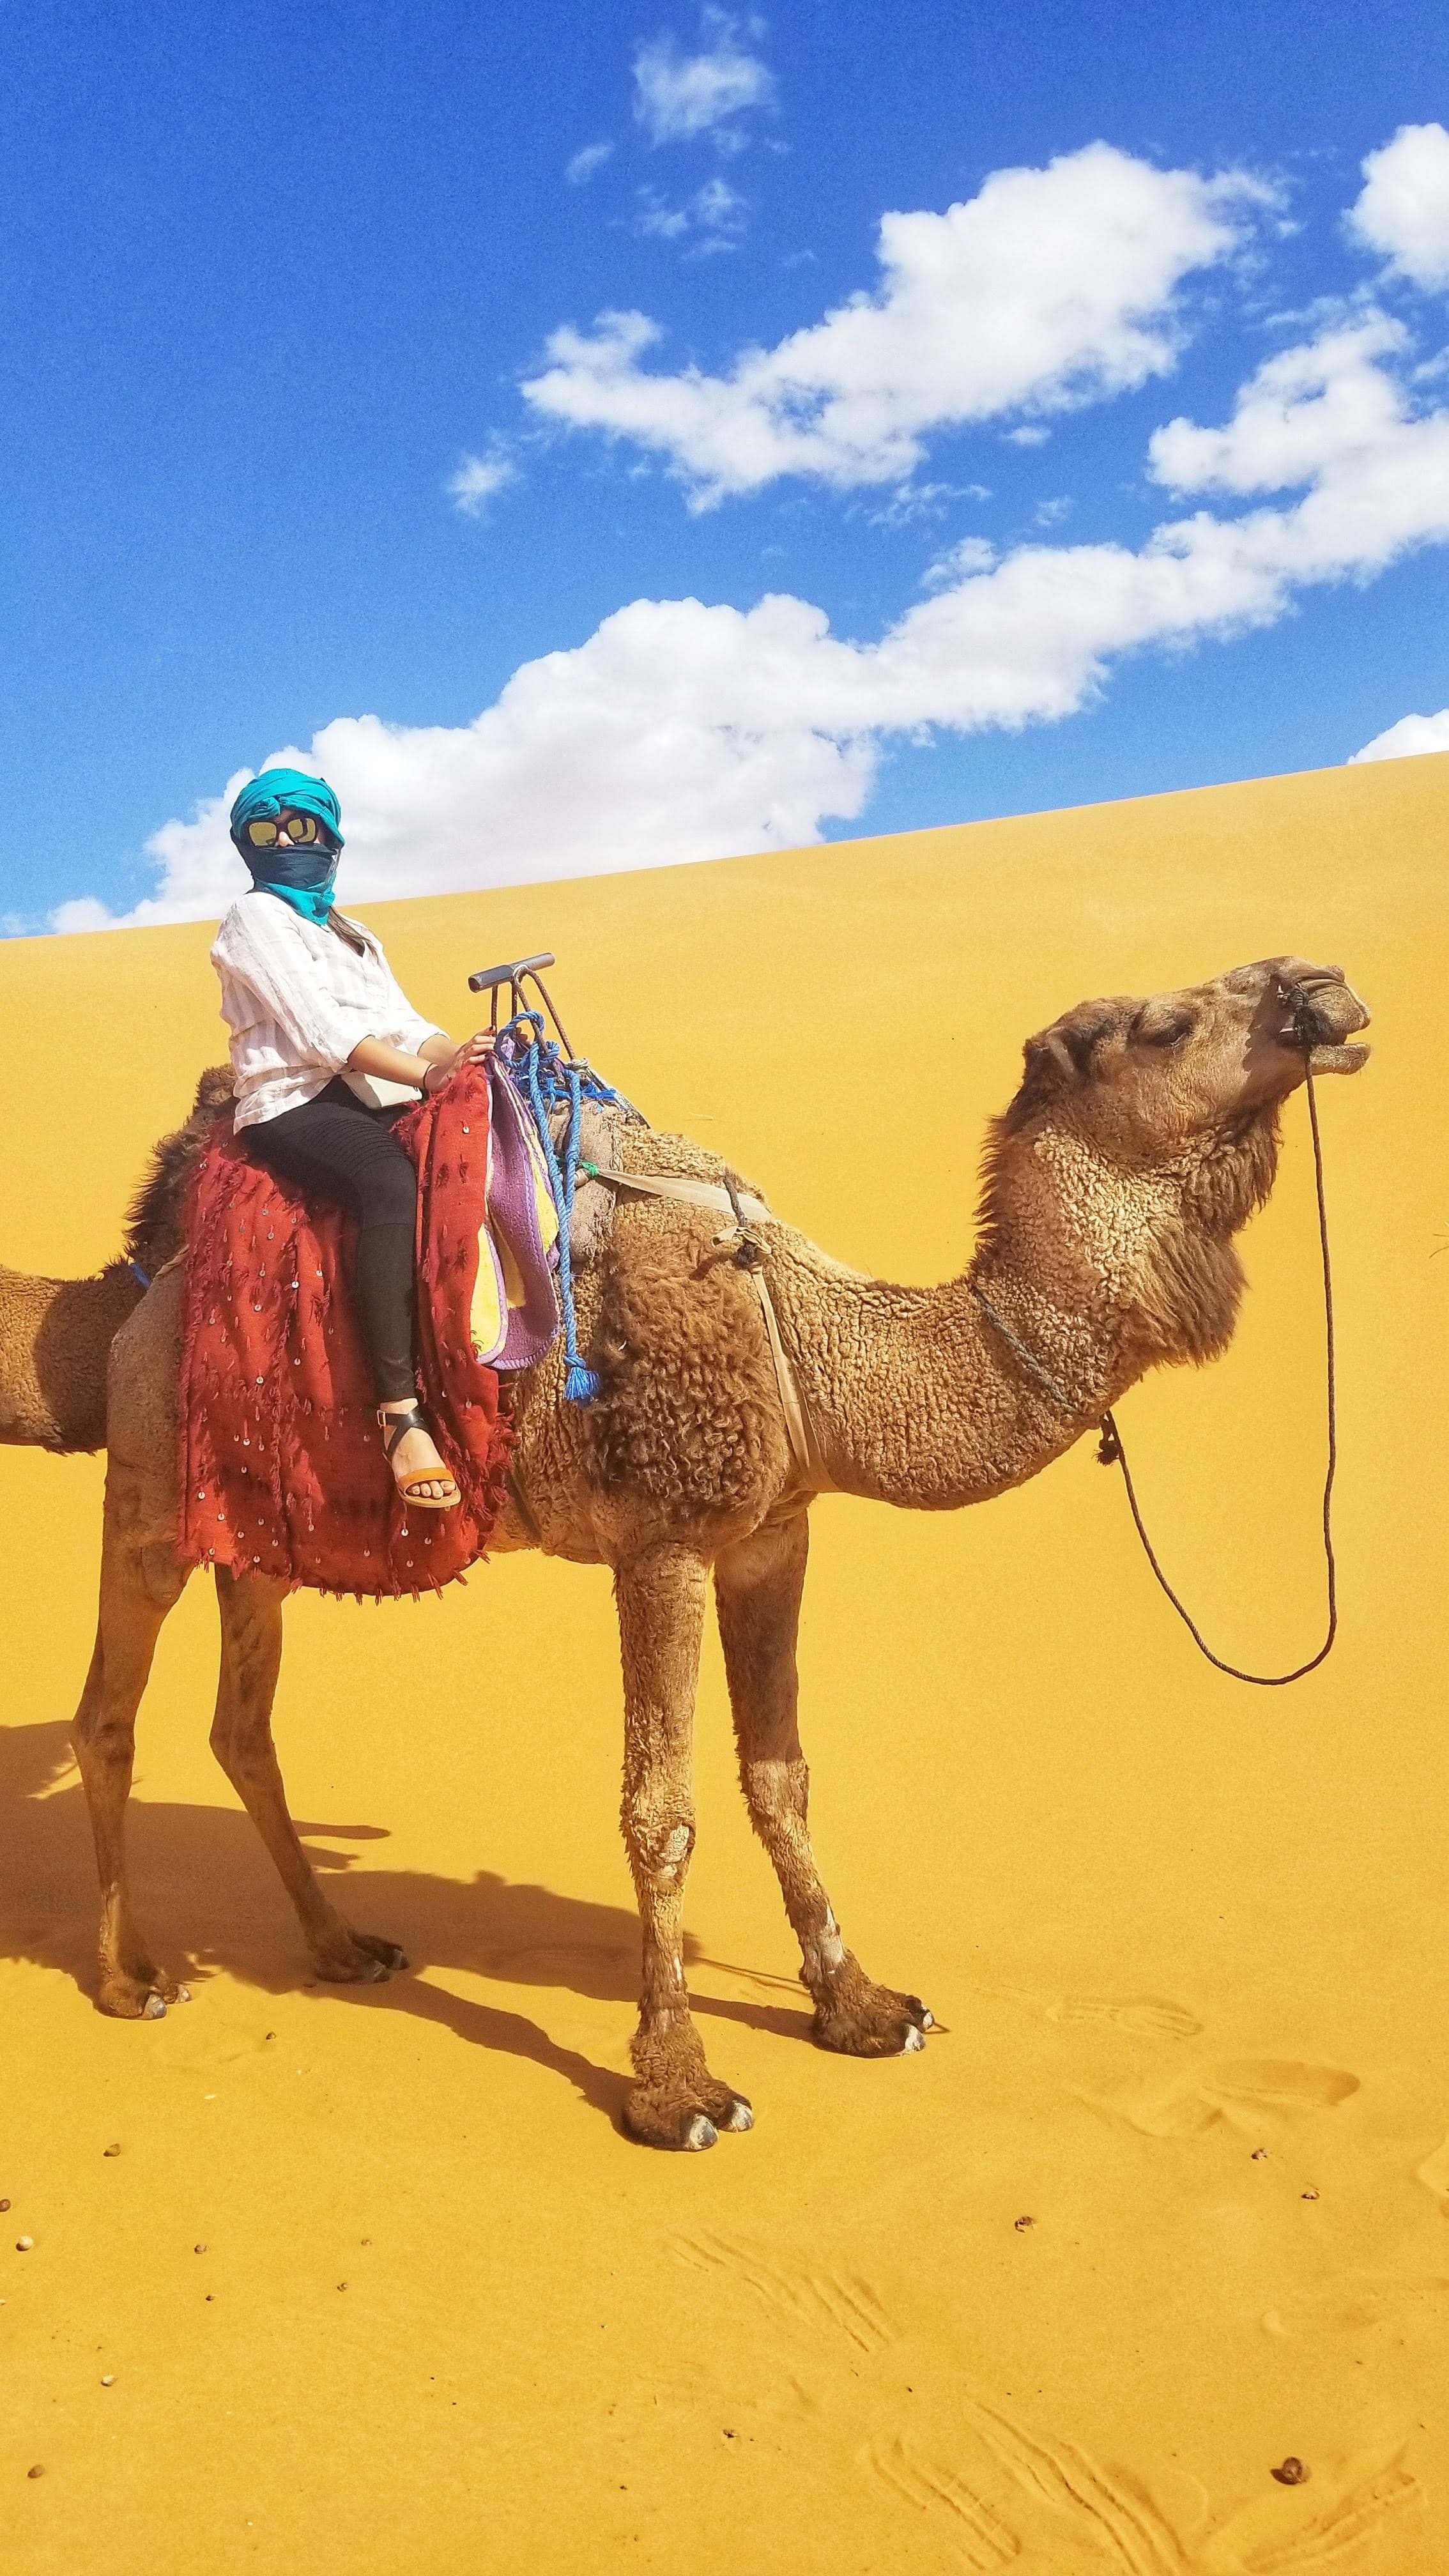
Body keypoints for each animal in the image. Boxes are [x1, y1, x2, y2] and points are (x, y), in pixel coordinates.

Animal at [67, 955, 1368, 2150]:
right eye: (1165, 1024)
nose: (1325, 988)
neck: (807, 1348)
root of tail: (153, 1278)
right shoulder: (665, 1541)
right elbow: (660, 1807)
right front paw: (677, 2084)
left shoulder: (771, 1536)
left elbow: (781, 1773)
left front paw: (860, 2006)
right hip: (149, 1497)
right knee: (105, 1715)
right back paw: (129, 1978)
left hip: (256, 1536)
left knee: (242, 1726)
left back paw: (340, 1946)